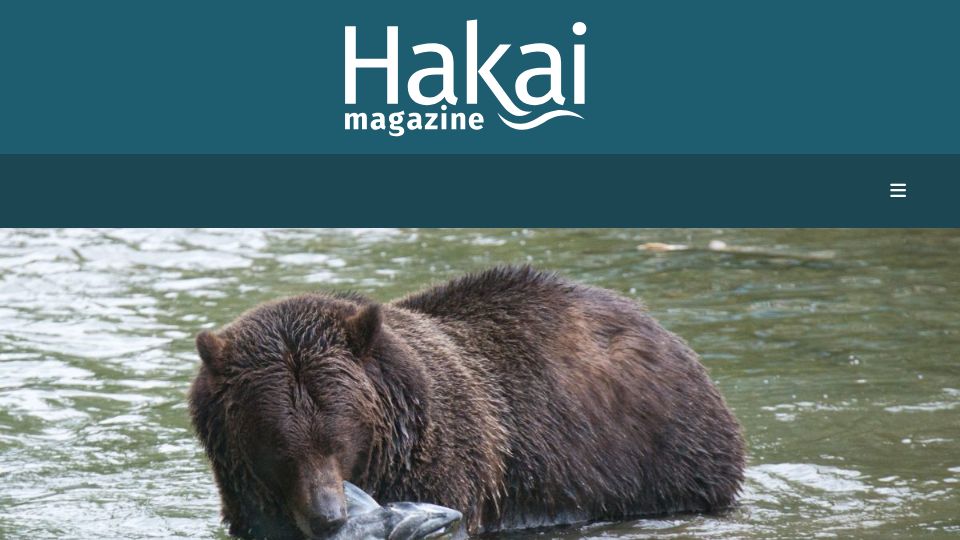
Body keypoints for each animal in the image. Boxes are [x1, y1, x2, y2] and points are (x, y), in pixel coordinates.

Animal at [188, 266, 745, 539]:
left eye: (338, 437)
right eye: (277, 444)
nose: (329, 517)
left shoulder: (446, 462)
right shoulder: (250, 498)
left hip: (657, 456)